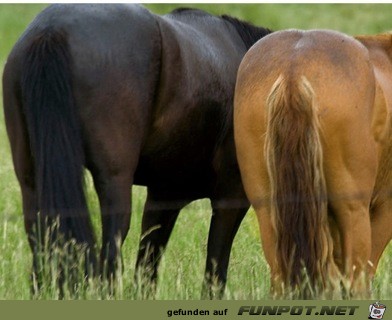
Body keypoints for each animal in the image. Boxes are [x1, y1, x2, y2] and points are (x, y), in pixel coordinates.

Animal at [3, 3, 272, 298]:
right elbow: (215, 270)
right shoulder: (231, 197)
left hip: (30, 177)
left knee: (39, 236)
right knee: (111, 244)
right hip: (114, 178)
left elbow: (147, 267)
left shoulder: (164, 196)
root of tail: (52, 31)